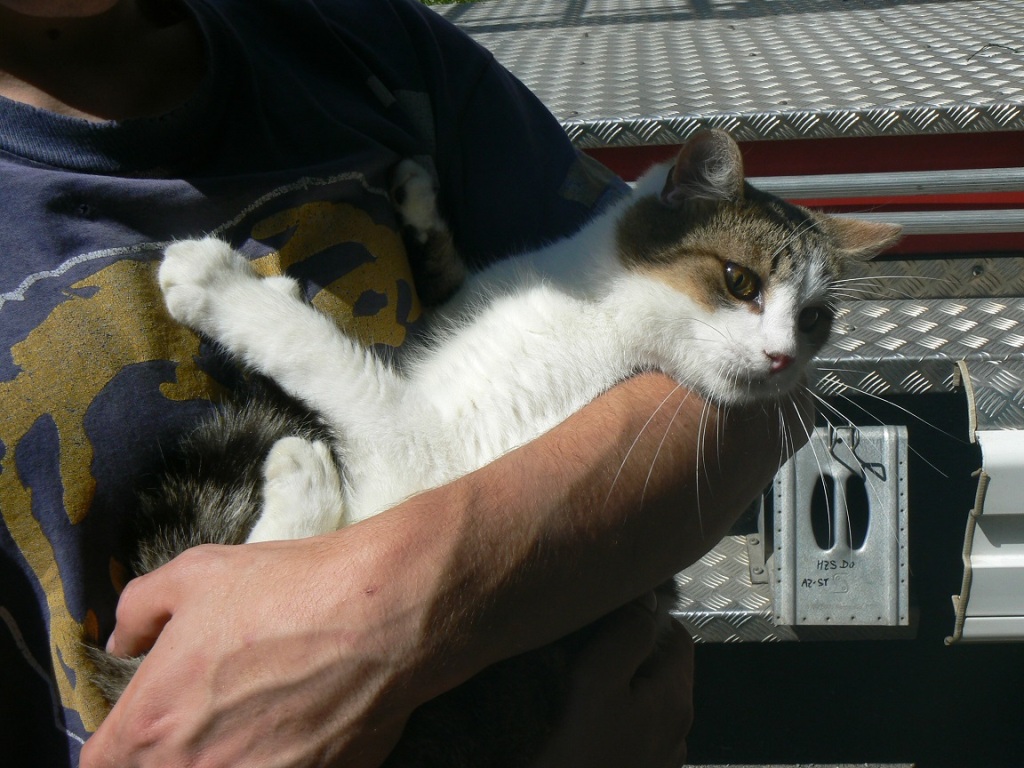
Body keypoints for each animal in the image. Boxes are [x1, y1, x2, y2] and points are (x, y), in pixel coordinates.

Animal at [92, 129, 901, 765]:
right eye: (739, 281)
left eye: (815, 320)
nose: (783, 360)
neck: (605, 302)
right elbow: (443, 280)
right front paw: (418, 205)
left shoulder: (425, 447)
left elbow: (327, 357)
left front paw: (221, 285)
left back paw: (301, 474)